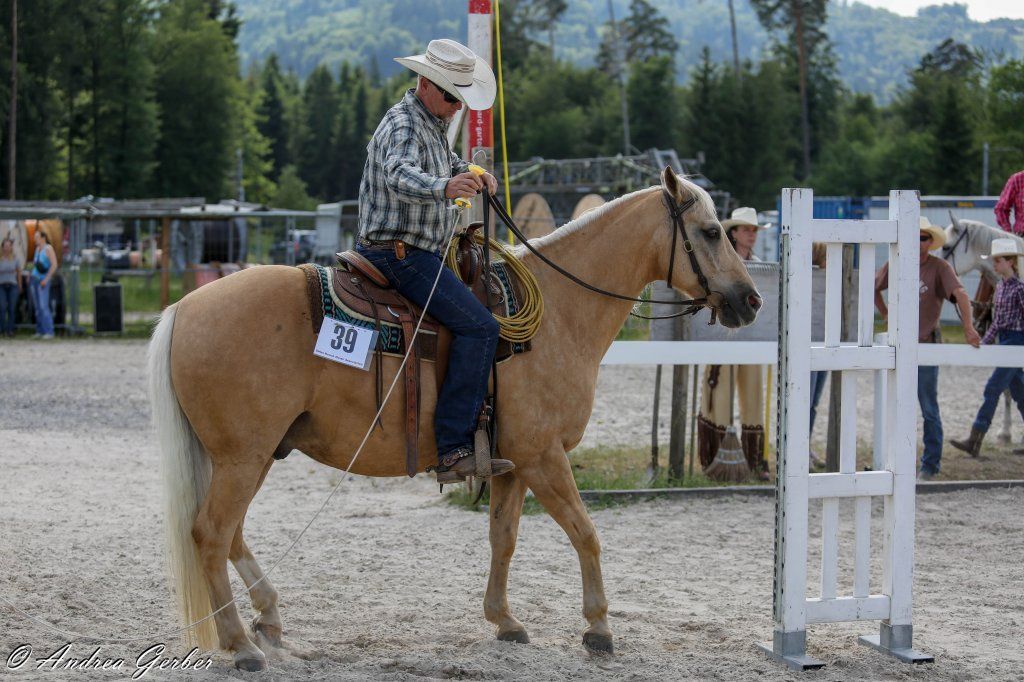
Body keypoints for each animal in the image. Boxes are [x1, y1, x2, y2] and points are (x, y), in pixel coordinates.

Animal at [147, 168, 762, 671]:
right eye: (712, 231)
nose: (751, 300)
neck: (558, 313)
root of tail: (184, 308)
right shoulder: (544, 456)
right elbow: (586, 533)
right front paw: (599, 627)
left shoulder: (514, 463)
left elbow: (503, 537)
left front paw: (505, 620)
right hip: (242, 457)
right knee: (210, 534)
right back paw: (241, 645)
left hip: (252, 456)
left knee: (229, 535)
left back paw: (268, 618)